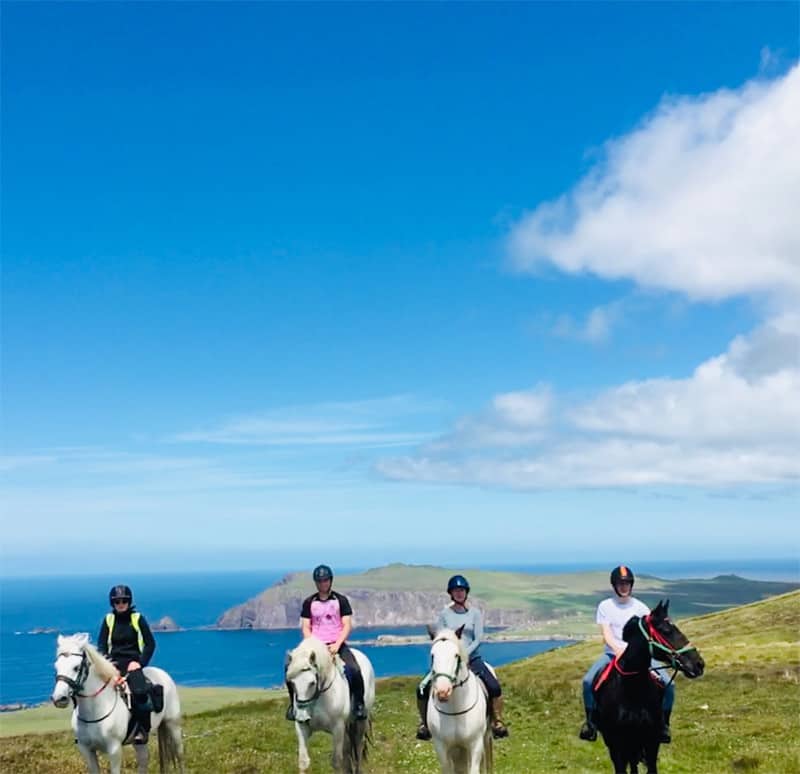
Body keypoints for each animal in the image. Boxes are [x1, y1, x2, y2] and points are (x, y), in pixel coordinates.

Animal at [51, 636, 184, 774]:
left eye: (76, 667)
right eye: (56, 667)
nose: (59, 698)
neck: (95, 711)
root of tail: (162, 673)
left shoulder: (114, 750)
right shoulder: (86, 750)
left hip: (173, 725)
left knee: (180, 755)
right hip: (140, 741)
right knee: (144, 760)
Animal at [286, 636, 376, 774]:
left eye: (312, 683)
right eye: (291, 683)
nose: (302, 716)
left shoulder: (337, 728)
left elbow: (337, 762)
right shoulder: (301, 727)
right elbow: (303, 761)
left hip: (360, 722)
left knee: (358, 748)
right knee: (348, 749)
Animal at [428, 628, 490, 774]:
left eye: (456, 655)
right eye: (432, 656)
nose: (443, 691)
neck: (455, 708)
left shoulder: (475, 744)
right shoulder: (441, 746)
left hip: (485, 737)